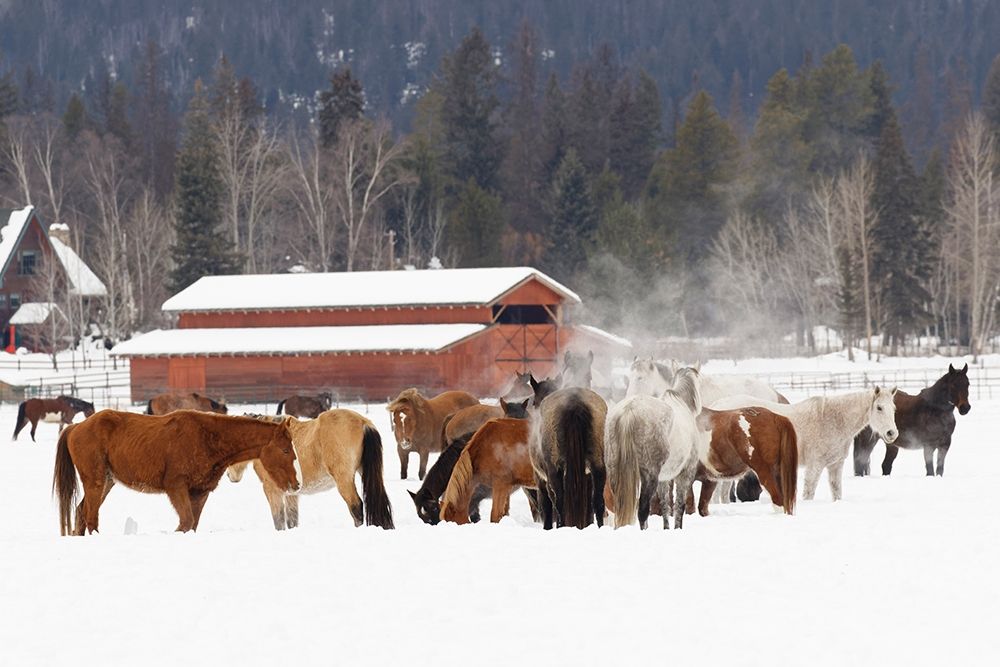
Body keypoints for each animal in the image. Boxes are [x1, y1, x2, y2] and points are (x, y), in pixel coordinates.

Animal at [52, 410, 300, 535]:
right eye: (285, 449)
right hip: (95, 482)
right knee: (90, 517)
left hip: (106, 482)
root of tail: (76, 427)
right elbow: (185, 523)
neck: (207, 437)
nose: (295, 485)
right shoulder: (176, 487)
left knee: (81, 512)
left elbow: (192, 524)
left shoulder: (200, 492)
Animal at [227, 410, 393, 530]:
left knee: (356, 506)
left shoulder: (272, 490)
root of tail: (363, 422)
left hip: (344, 480)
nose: (230, 476)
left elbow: (278, 520)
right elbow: (292, 520)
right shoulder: (291, 493)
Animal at [528, 384, 608, 530]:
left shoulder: (541, 481)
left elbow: (547, 507)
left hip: (555, 471)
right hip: (598, 466)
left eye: (534, 402)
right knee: (598, 501)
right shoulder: (587, 477)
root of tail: (575, 403)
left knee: (560, 502)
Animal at [605, 366, 702, 530]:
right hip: (649, 476)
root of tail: (629, 411)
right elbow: (679, 505)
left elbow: (665, 505)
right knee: (643, 511)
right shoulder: (686, 473)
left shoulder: (663, 478)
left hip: (615, 472)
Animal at [712, 387, 898, 501]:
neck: (831, 419)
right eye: (879, 408)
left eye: (894, 408)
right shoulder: (814, 465)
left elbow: (836, 491)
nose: (892, 433)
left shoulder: (835, 465)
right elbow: (809, 492)